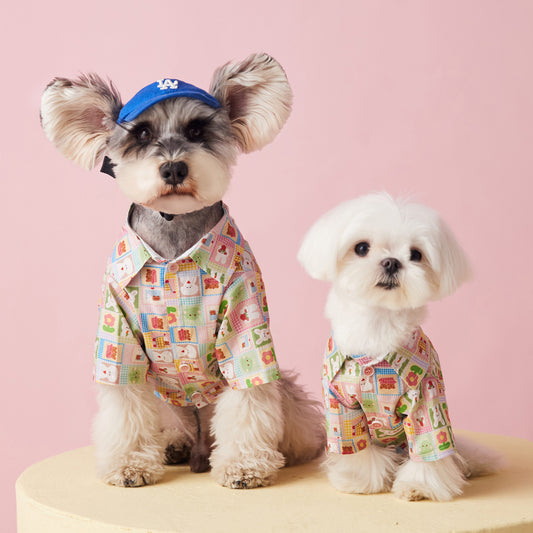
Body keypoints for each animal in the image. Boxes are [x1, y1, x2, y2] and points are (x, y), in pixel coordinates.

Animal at [298, 193, 500, 500]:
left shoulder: (427, 398)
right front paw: (359, 480)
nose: (392, 262)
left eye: (416, 254)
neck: (378, 326)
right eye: (361, 248)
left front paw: (420, 486)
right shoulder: (339, 404)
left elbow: (430, 447)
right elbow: (355, 444)